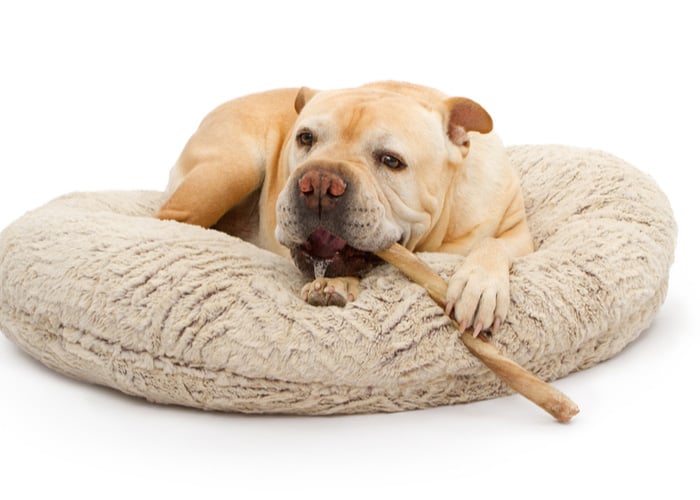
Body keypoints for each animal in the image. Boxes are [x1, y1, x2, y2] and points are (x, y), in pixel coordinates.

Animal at [157, 82, 532, 336]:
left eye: (391, 161)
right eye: (305, 138)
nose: (320, 183)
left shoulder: (519, 233)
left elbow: (493, 244)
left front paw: (478, 284)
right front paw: (334, 285)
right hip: (232, 168)